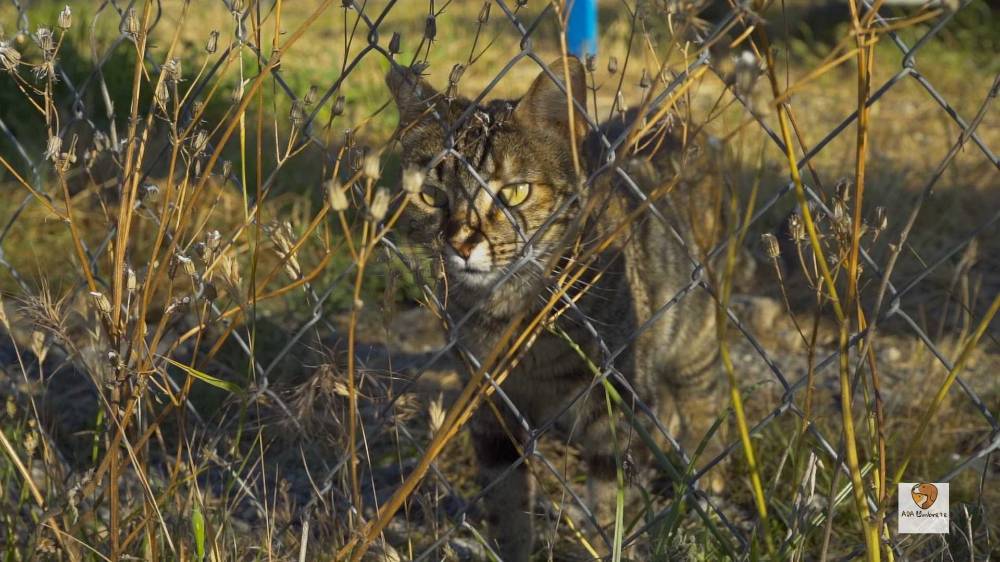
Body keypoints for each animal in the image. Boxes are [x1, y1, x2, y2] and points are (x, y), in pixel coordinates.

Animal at [386, 59, 724, 556]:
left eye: (515, 193)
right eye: (431, 196)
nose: (461, 244)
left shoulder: (615, 403)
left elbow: (610, 506)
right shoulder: (490, 410)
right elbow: (507, 505)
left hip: (693, 334)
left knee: (701, 398)